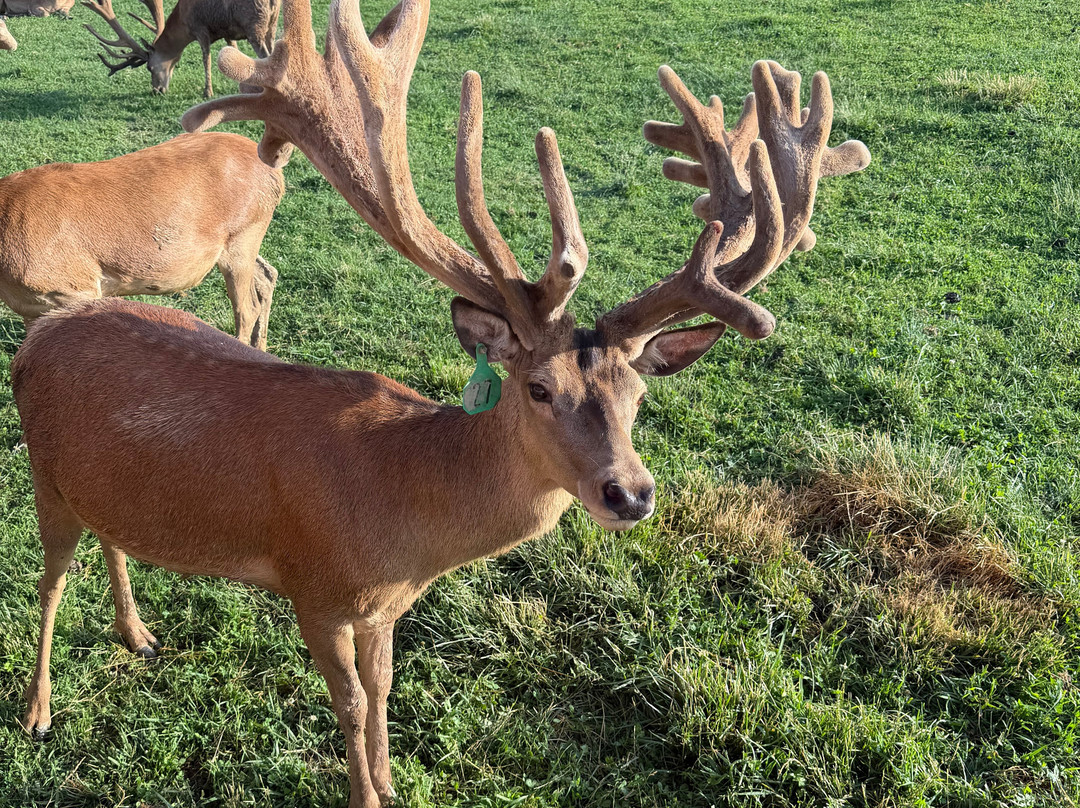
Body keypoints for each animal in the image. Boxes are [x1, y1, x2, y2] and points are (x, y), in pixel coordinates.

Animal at [0, 131, 285, 349]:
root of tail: (277, 176)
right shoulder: (32, 307)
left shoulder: (77, 287)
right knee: (267, 274)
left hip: (244, 233)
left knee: (247, 309)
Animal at [83, 0, 280, 97]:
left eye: (149, 67)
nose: (157, 90)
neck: (183, 22)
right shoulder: (228, 31)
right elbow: (232, 51)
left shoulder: (200, 28)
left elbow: (206, 59)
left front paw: (207, 92)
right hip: (271, 25)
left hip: (254, 26)